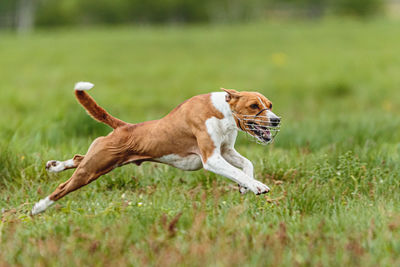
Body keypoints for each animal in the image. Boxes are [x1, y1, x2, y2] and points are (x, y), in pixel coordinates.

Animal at [31, 81, 280, 216]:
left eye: (269, 105)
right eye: (254, 106)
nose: (276, 120)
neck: (222, 111)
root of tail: (124, 127)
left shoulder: (226, 150)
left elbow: (247, 165)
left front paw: (245, 186)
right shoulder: (212, 158)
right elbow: (239, 171)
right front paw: (257, 186)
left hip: (100, 162)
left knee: (77, 158)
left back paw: (54, 166)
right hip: (93, 169)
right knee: (62, 188)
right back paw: (38, 207)